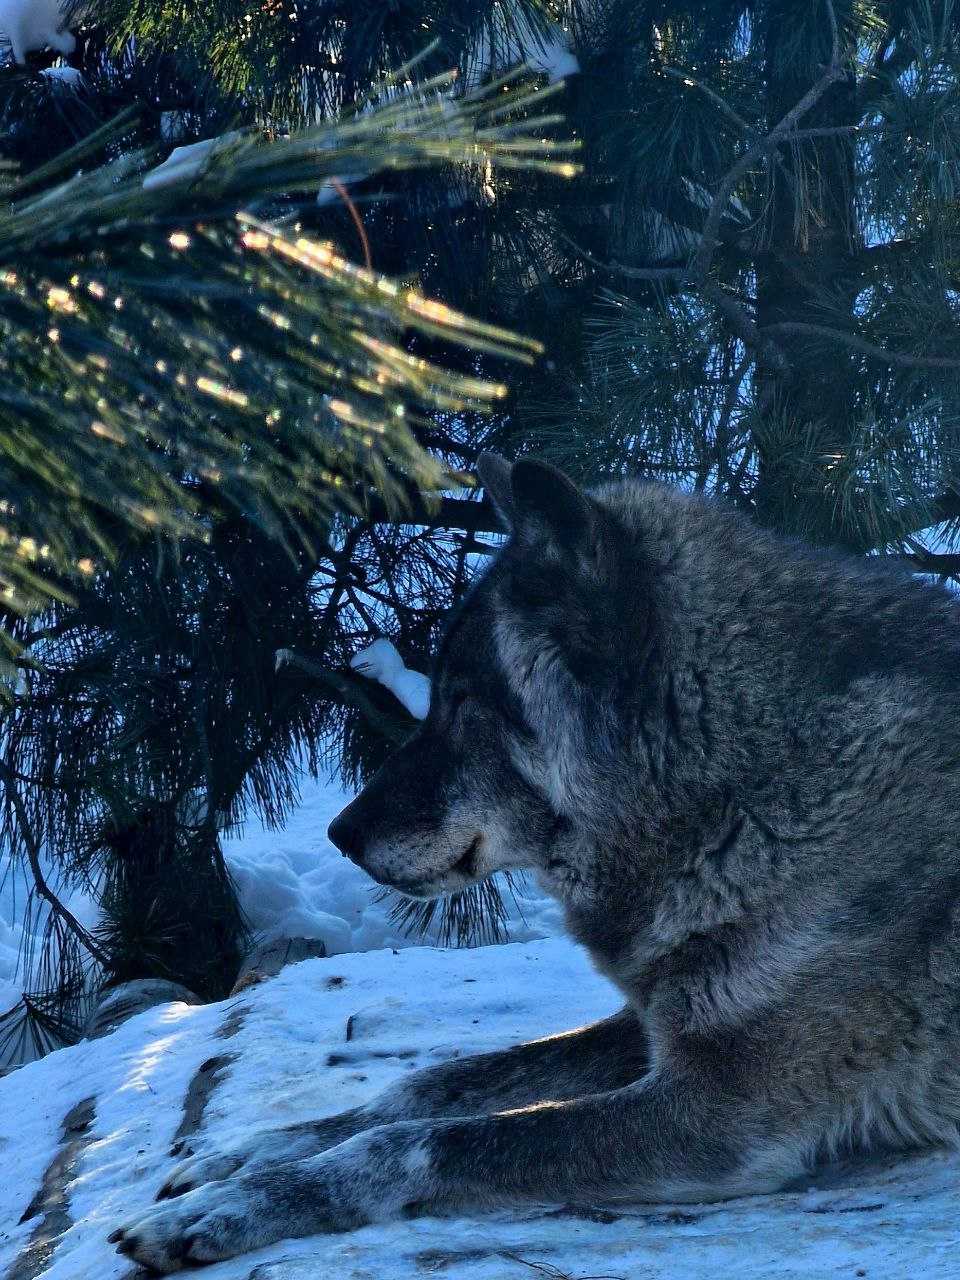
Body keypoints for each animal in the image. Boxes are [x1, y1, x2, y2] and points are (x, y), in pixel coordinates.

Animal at [111, 454, 960, 1272]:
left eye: (463, 704)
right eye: (436, 695)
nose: (339, 833)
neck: (743, 786)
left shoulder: (720, 1109)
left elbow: (415, 1141)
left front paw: (241, 1202)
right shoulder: (652, 1022)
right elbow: (434, 1083)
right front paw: (251, 1152)